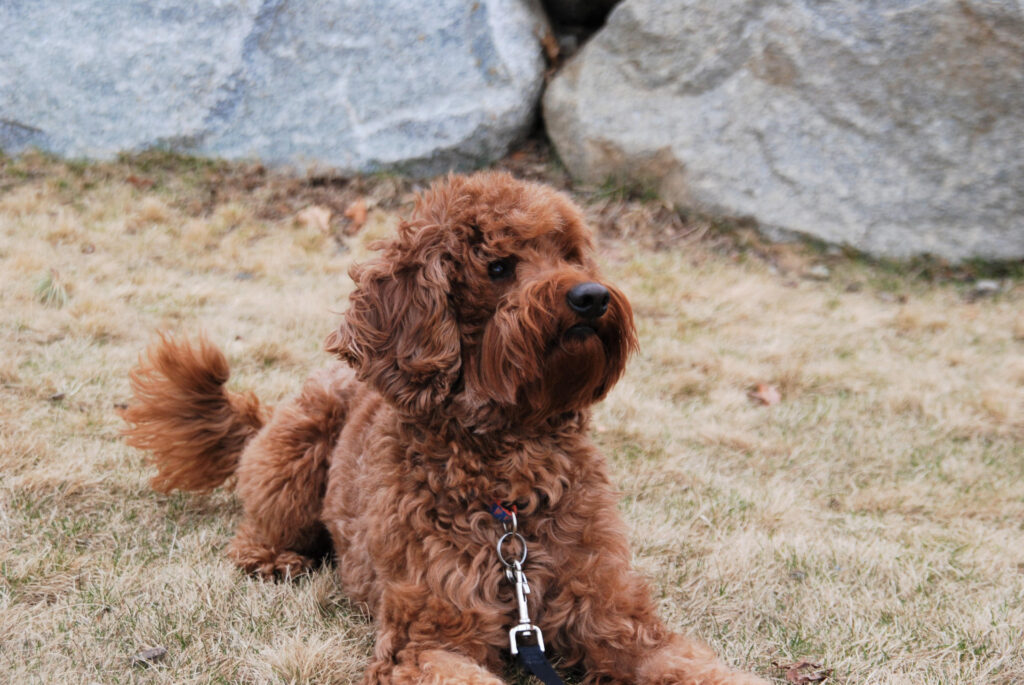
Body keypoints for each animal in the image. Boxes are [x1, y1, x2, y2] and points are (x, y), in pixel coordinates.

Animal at [121, 172, 770, 683]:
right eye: (500, 267)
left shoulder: (615, 618)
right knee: (259, 521)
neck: (512, 481)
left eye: (570, 255)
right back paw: (273, 558)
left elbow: (692, 666)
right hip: (298, 446)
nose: (590, 296)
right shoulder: (427, 638)